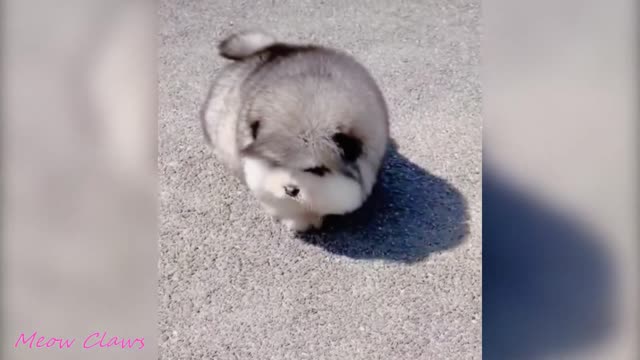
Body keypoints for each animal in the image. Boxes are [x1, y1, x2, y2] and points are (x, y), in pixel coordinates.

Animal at [200, 30, 390, 231]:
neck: (311, 108)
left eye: (316, 169)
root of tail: (264, 49)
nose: (291, 190)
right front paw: (299, 220)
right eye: (276, 163)